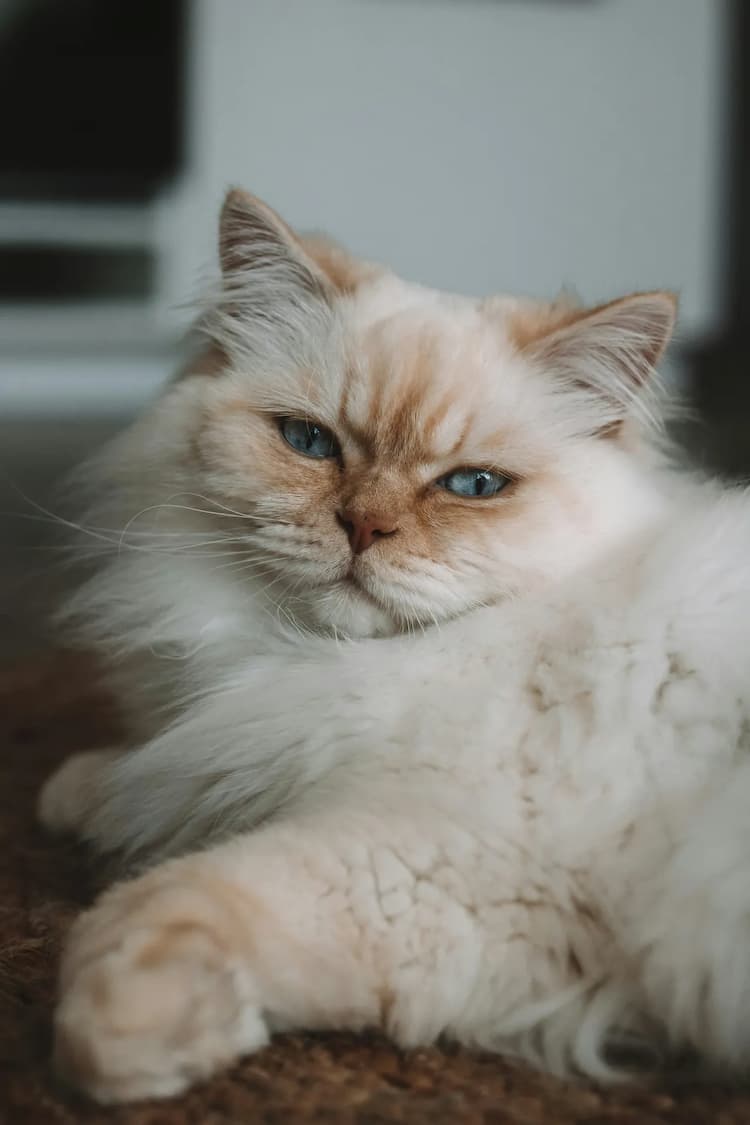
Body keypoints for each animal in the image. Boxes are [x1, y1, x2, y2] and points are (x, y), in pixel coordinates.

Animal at [38, 189, 750, 1102]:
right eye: (309, 442)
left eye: (474, 485)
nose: (364, 526)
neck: (298, 653)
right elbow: (143, 776)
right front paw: (79, 794)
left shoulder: (444, 861)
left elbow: (182, 892)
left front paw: (115, 1035)